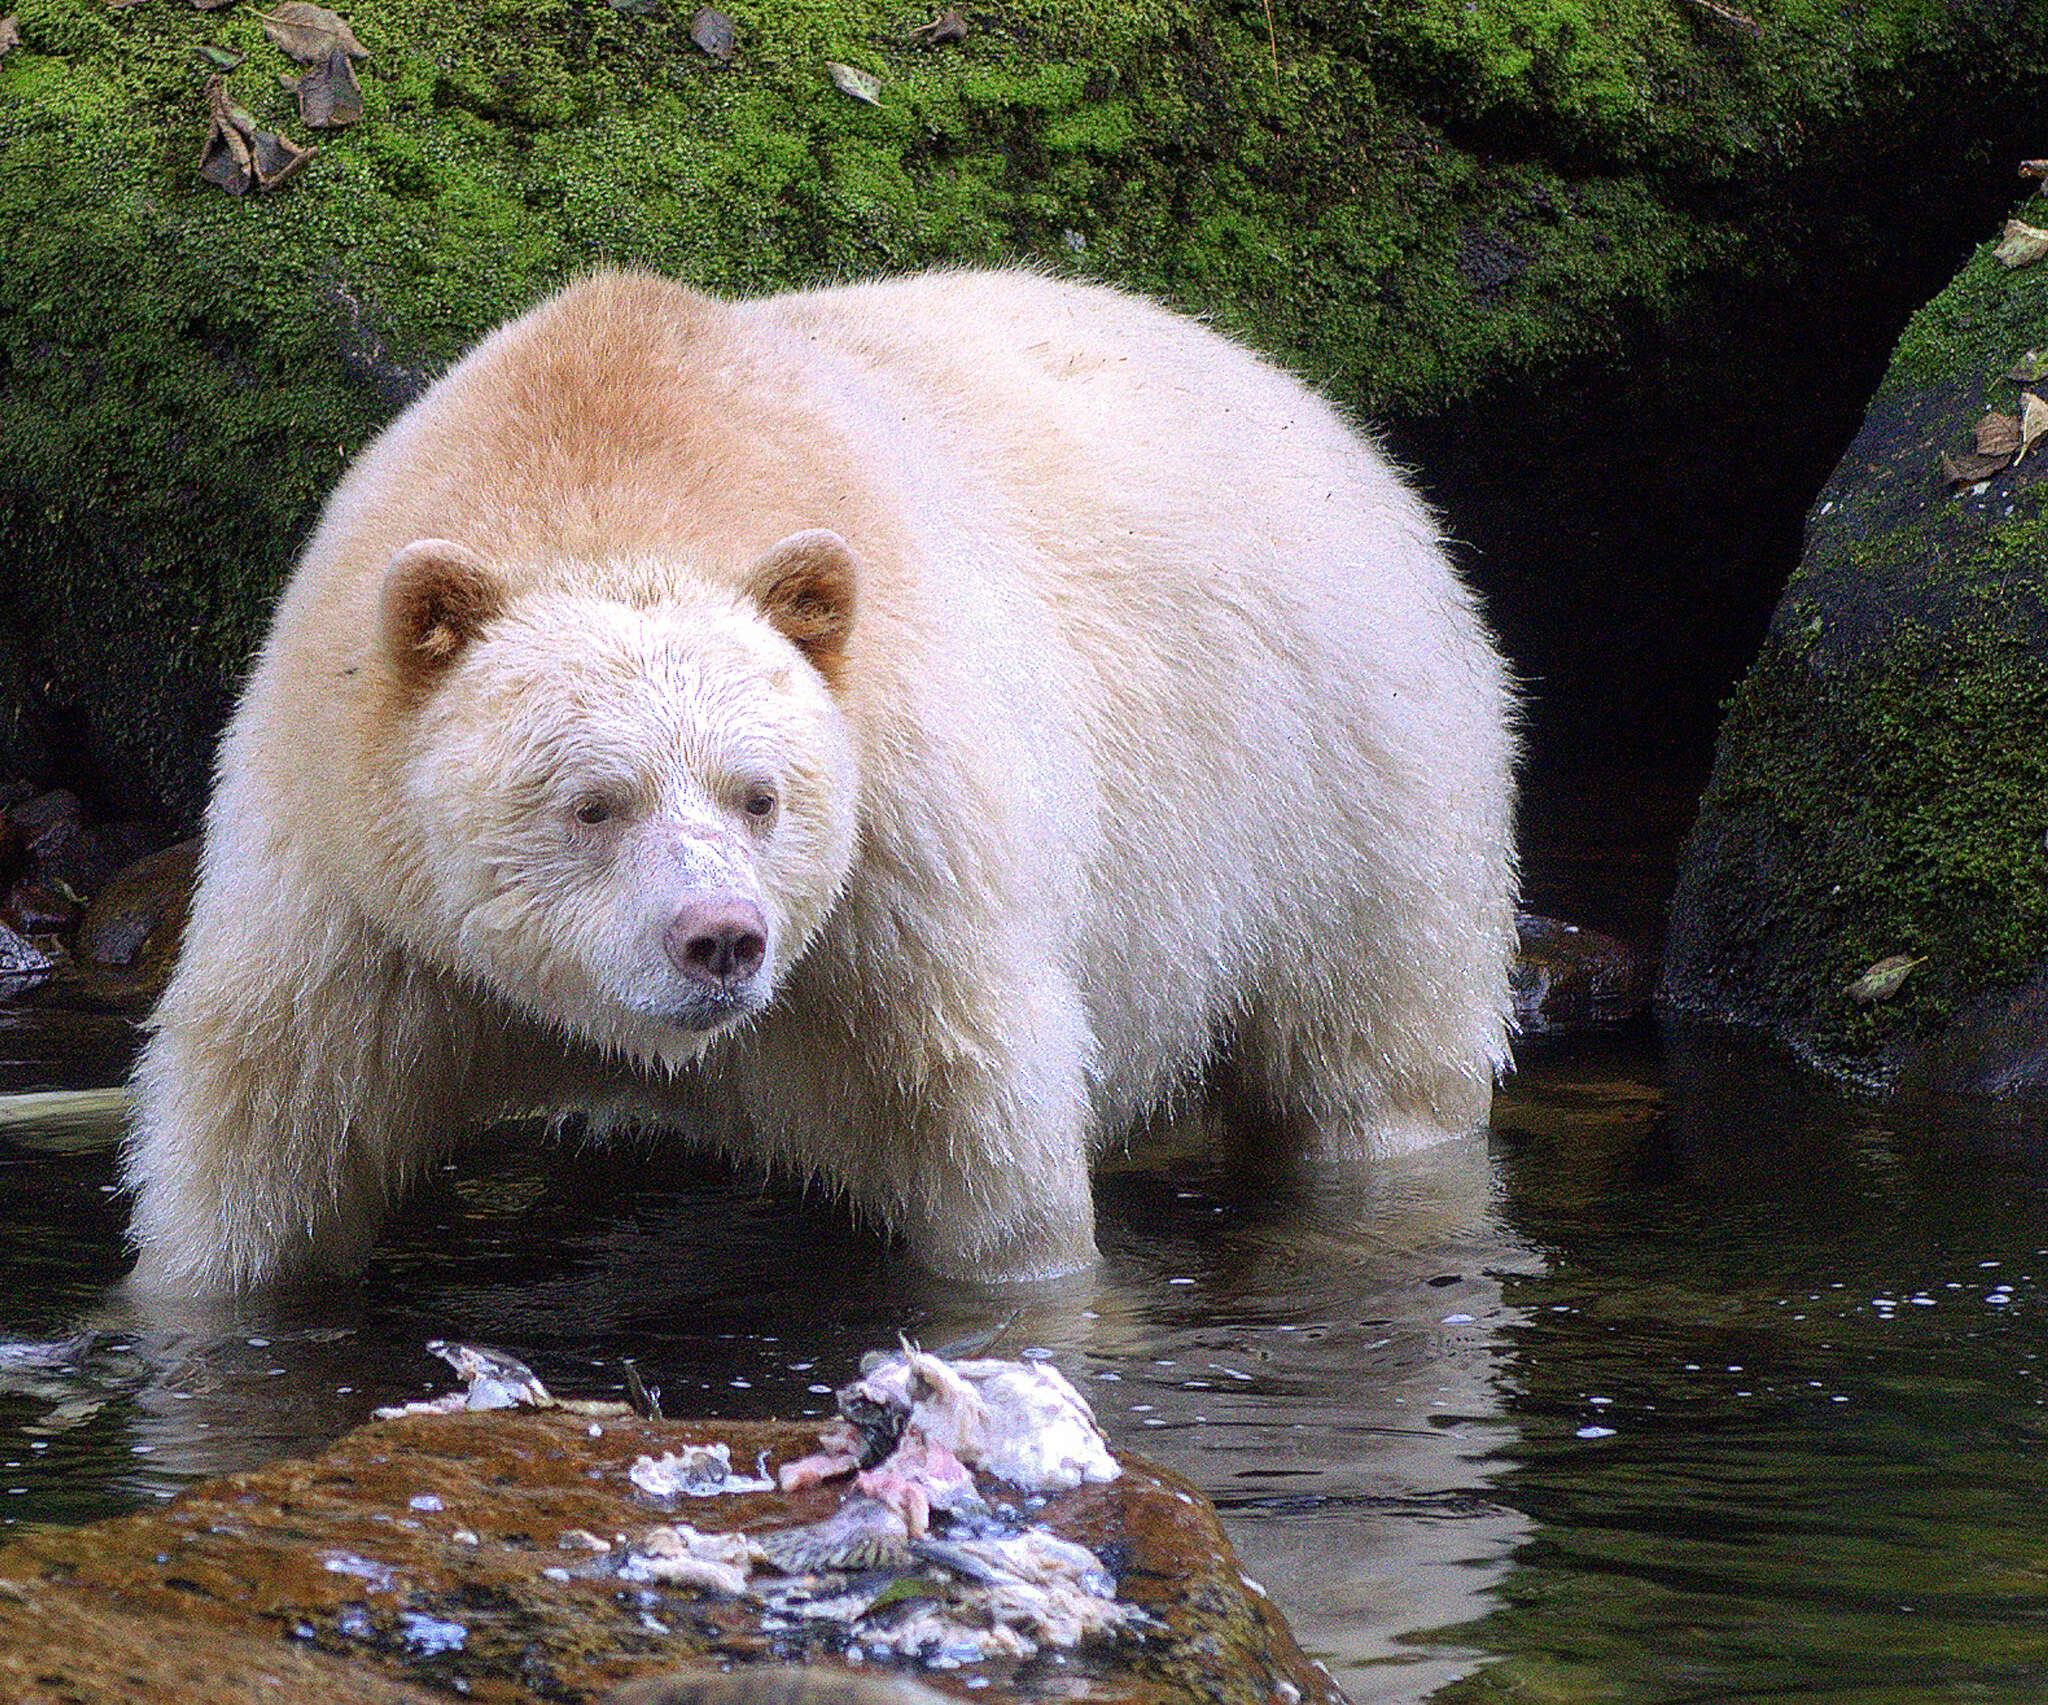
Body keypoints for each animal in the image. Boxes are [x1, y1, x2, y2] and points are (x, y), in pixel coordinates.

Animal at [119, 266, 1515, 1293]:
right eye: (592, 803)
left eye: (760, 794)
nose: (719, 940)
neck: (601, 482)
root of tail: (1327, 418)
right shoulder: (350, 880)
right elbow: (266, 1143)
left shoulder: (891, 879)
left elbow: (984, 1152)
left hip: (1346, 776)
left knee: (1372, 1058)